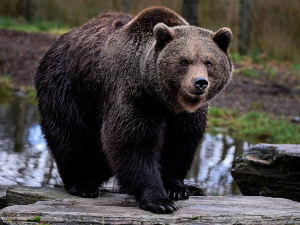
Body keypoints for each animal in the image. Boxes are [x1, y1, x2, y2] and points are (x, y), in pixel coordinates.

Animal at [34, 6, 233, 214]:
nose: (200, 83)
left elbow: (180, 142)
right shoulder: (136, 96)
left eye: (209, 62)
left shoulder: (186, 115)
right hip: (68, 87)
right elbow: (133, 142)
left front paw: (176, 189)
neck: (166, 100)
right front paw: (159, 200)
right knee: (70, 136)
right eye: (184, 61)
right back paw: (83, 184)